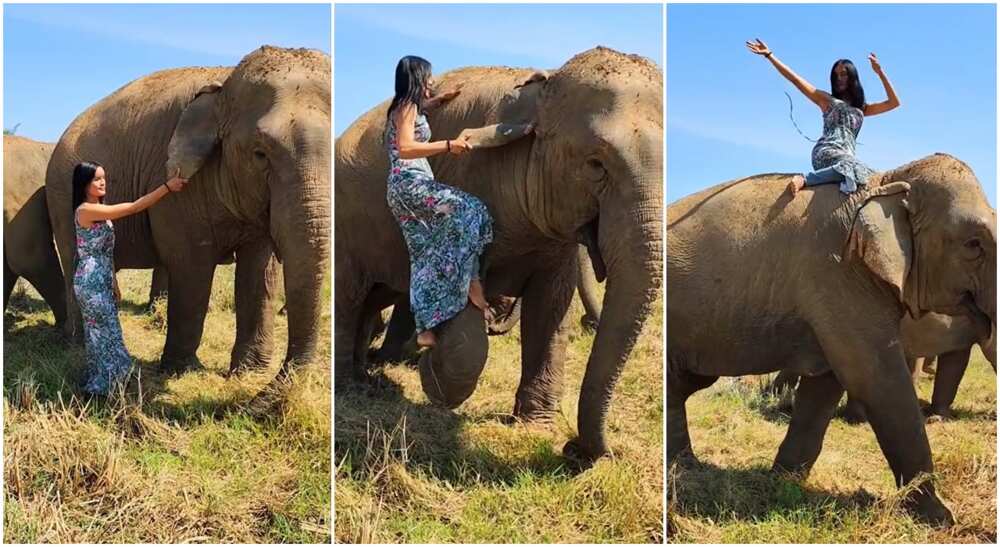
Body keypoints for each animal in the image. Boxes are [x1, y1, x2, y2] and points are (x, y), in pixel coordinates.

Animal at [47, 47, 330, 398]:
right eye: (260, 153)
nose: (269, 395)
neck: (226, 82)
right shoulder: (178, 192)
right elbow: (190, 265)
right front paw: (181, 370)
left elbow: (260, 271)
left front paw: (248, 372)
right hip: (61, 197)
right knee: (73, 258)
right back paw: (75, 346)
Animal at [338, 47, 664, 462]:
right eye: (596, 165)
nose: (574, 450)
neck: (542, 85)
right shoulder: (463, 177)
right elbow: (464, 307)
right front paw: (431, 371)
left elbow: (551, 309)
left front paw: (535, 426)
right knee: (349, 299)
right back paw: (350, 386)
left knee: (370, 301)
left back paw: (365, 375)